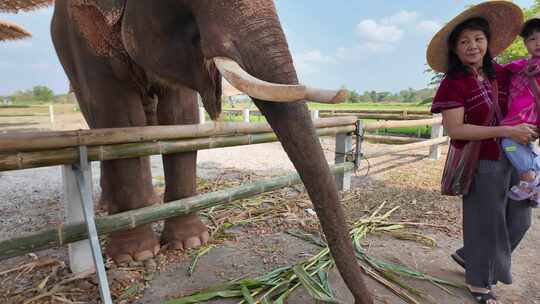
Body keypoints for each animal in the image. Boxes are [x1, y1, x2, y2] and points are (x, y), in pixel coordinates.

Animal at [49, 1, 372, 302]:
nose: (361, 299)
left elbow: (182, 115)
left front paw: (191, 242)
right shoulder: (85, 35)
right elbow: (121, 119)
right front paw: (136, 256)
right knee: (103, 125)